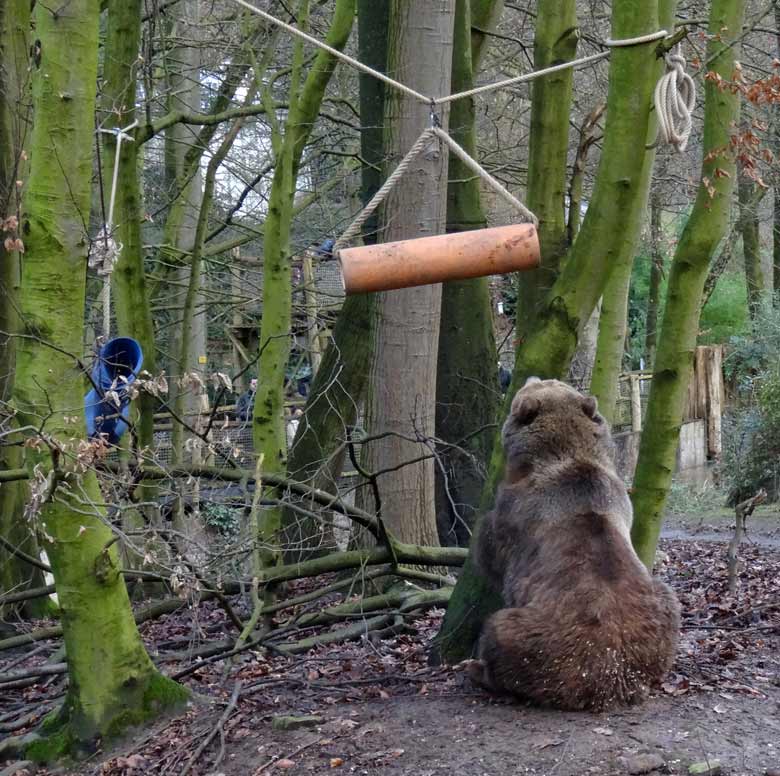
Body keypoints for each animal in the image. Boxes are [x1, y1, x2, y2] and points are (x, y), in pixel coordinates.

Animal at [470, 376, 684, 708]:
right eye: (552, 380)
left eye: (538, 384)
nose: (530, 377)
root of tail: (607, 678)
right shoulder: (618, 496)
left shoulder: (517, 512)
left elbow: (490, 549)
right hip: (659, 614)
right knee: (669, 603)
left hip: (540, 639)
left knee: (499, 633)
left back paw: (478, 669)